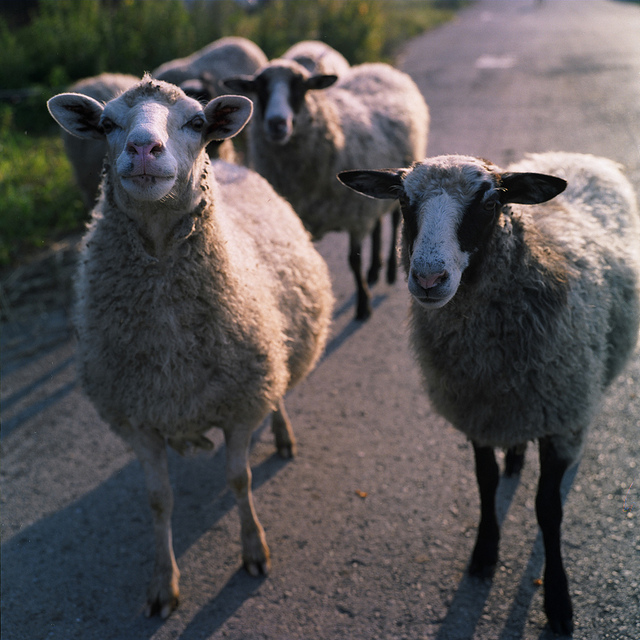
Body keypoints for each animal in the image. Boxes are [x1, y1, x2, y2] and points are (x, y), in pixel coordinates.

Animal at [47, 75, 334, 618]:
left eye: (197, 122)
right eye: (107, 124)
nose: (143, 148)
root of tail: (232, 162)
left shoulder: (240, 404)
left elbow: (240, 480)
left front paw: (254, 550)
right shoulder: (138, 419)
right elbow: (159, 500)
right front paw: (164, 584)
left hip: (269, 354)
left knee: (279, 389)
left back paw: (283, 433)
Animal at [224, 59, 429, 320]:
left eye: (301, 87)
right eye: (259, 89)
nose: (276, 124)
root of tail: (379, 66)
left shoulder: (355, 217)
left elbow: (353, 261)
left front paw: (363, 305)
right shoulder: (309, 220)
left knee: (392, 222)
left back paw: (390, 270)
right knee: (376, 226)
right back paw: (374, 269)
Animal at [338, 152, 640, 634]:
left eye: (492, 201)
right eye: (403, 200)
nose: (428, 279)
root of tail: (581, 157)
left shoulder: (559, 415)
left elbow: (548, 509)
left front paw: (558, 600)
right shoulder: (477, 412)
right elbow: (486, 482)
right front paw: (484, 553)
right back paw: (515, 455)